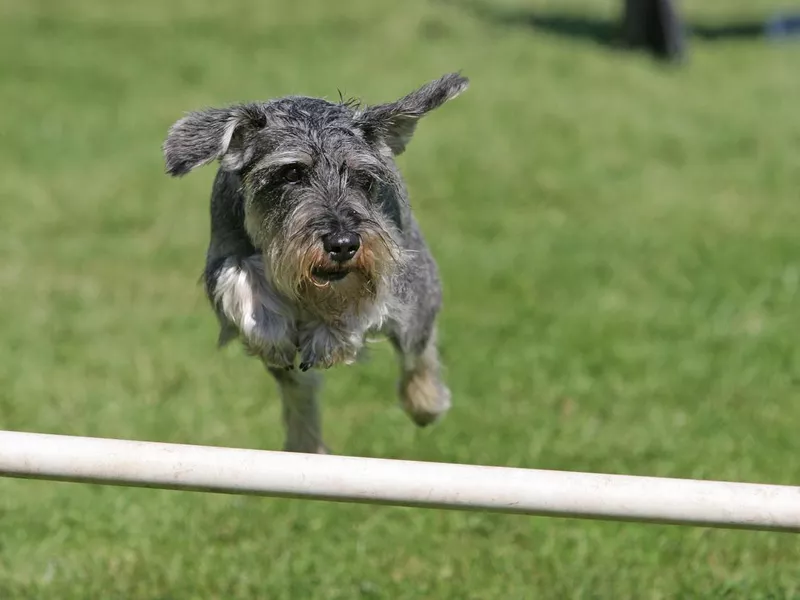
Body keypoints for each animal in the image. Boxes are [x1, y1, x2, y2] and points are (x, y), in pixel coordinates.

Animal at [162, 72, 468, 452]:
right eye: (291, 173)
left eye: (363, 178)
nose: (343, 245)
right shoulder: (221, 255)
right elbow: (240, 276)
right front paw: (270, 327)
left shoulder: (390, 266)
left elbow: (367, 301)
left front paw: (331, 336)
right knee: (299, 393)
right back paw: (305, 445)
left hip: (418, 297)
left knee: (419, 348)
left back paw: (425, 402)